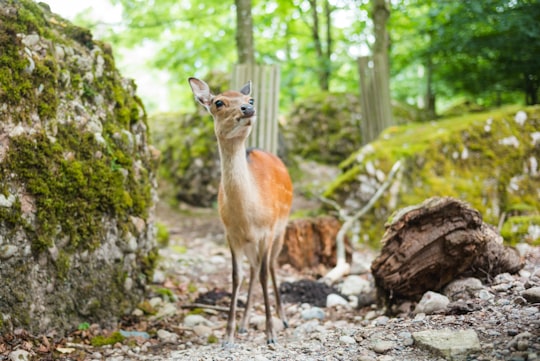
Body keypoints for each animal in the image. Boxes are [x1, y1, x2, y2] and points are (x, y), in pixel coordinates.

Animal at [188, 76, 294, 346]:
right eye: (218, 102)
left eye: (250, 99)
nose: (248, 109)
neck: (247, 216)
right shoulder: (231, 235)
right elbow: (236, 277)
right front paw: (228, 335)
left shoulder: (267, 231)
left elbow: (265, 274)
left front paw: (270, 334)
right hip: (250, 243)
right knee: (254, 269)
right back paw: (245, 324)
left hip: (282, 227)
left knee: (271, 266)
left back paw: (283, 318)